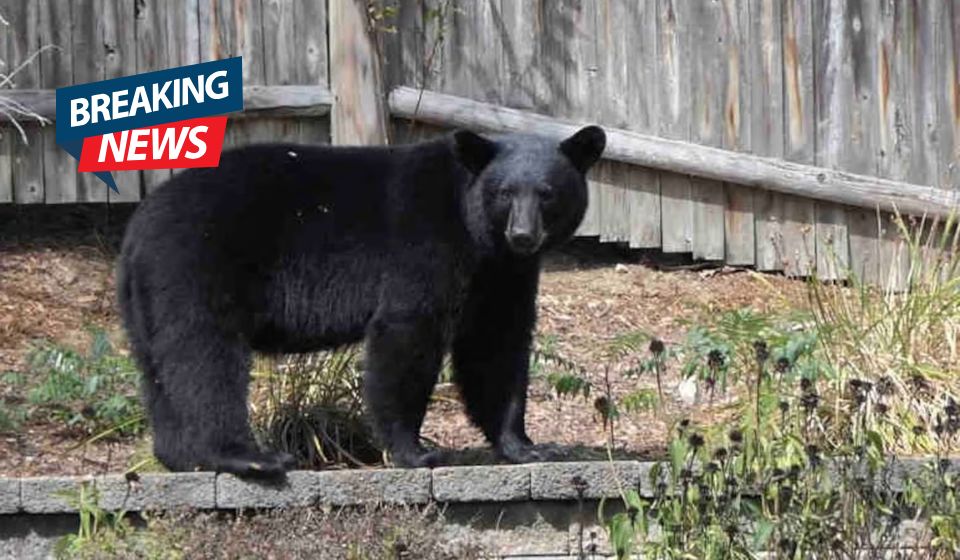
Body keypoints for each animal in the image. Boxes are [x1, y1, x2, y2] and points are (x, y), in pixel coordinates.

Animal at [117, 125, 606, 477]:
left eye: (547, 193)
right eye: (505, 193)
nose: (523, 235)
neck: (477, 234)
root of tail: (137, 228)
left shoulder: (502, 275)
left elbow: (496, 344)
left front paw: (527, 446)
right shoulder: (426, 242)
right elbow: (408, 331)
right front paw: (415, 451)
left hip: (147, 296)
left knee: (158, 370)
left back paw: (181, 457)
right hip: (195, 265)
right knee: (205, 357)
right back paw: (249, 456)